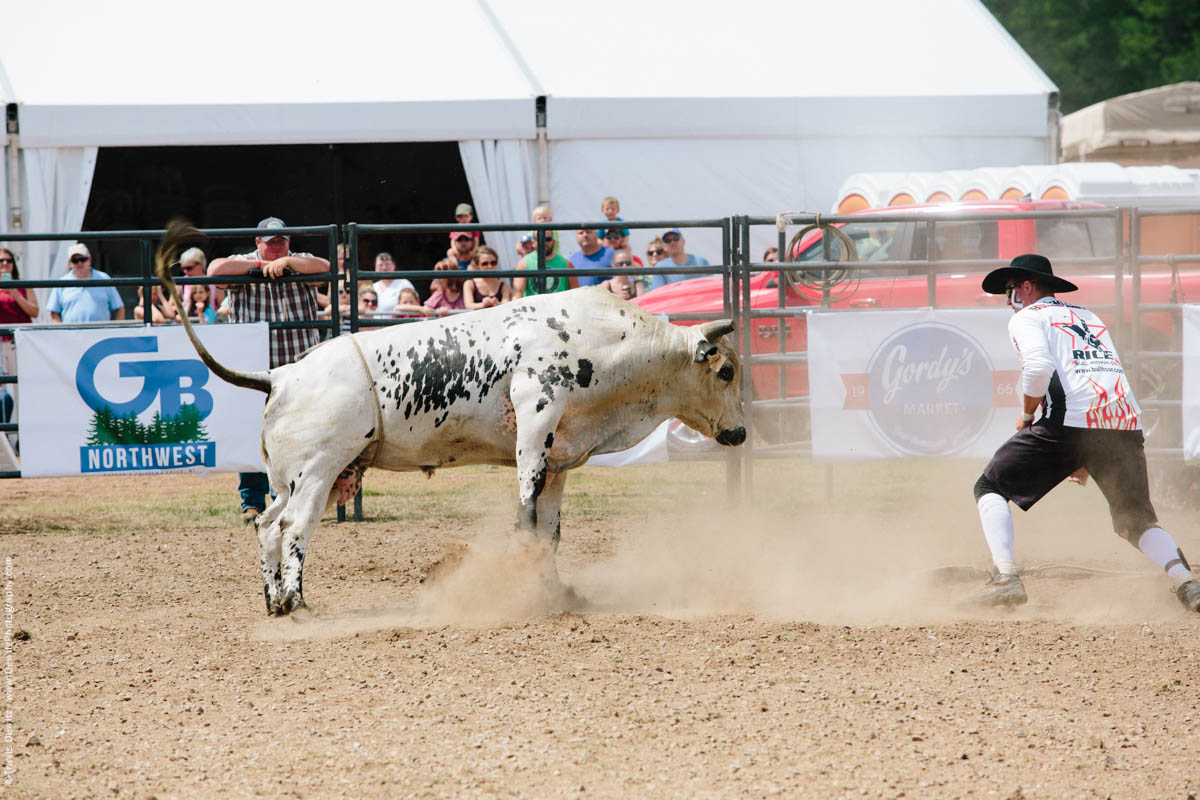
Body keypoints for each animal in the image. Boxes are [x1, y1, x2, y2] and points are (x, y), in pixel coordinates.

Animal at [156, 221, 744, 618]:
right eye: (726, 372)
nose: (739, 432)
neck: (604, 341)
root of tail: (279, 375)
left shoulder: (559, 460)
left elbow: (550, 533)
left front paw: (555, 593)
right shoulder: (535, 427)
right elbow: (526, 517)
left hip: (288, 477)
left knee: (266, 526)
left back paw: (274, 601)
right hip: (318, 471)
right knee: (294, 527)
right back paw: (297, 603)